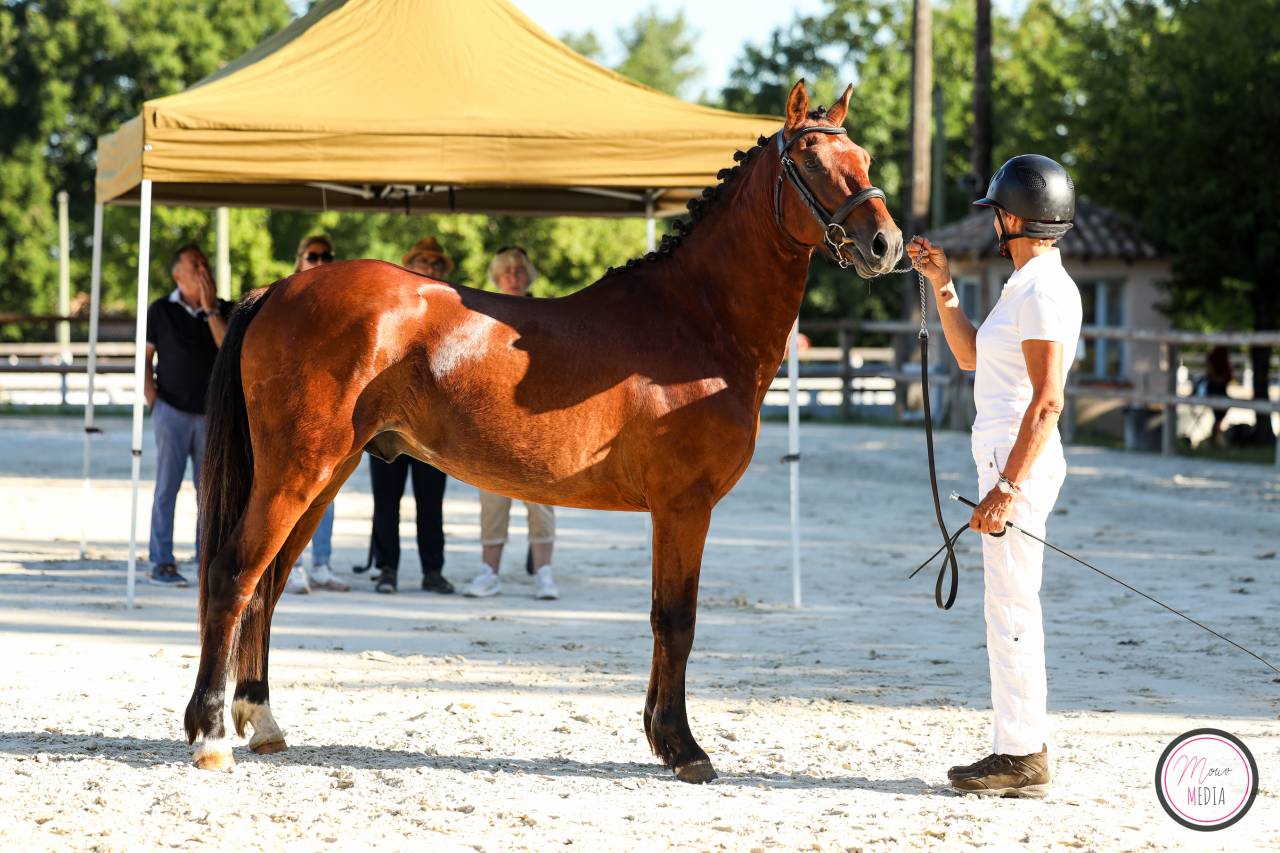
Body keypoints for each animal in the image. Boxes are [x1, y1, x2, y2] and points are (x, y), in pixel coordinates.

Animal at [184, 79, 904, 783]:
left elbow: (659, 618)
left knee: (269, 583)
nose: (886, 245)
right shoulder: (684, 506)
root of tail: (278, 291)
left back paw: (263, 722)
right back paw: (212, 735)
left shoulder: (670, 512)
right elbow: (677, 621)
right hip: (296, 471)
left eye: (865, 158)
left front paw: (660, 737)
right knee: (234, 575)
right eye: (812, 161)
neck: (693, 322)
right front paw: (685, 748)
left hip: (325, 475)